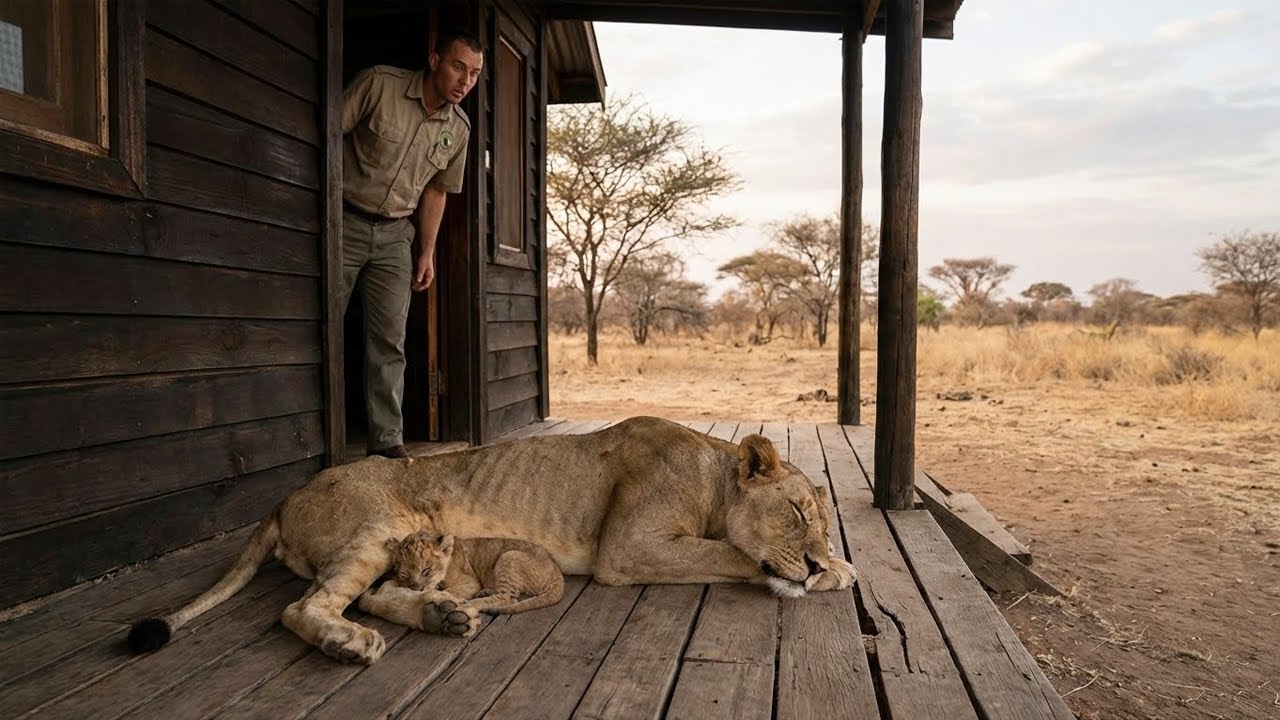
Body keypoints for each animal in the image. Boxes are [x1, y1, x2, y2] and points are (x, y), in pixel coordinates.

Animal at [362, 530, 565, 629]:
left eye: (426, 571)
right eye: (403, 575)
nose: (416, 589)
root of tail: (557, 572)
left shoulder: (470, 581)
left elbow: (448, 590)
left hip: (509, 556)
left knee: (508, 597)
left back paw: (471, 603)